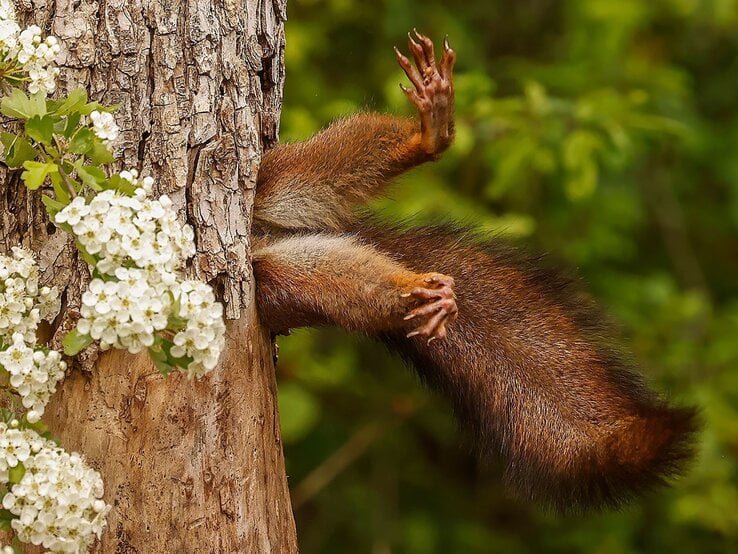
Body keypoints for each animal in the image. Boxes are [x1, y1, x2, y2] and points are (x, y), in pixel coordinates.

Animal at [249, 30, 696, 508]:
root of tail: (263, 236)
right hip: (277, 279)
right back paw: (419, 291)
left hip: (273, 180)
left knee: (321, 168)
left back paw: (428, 137)